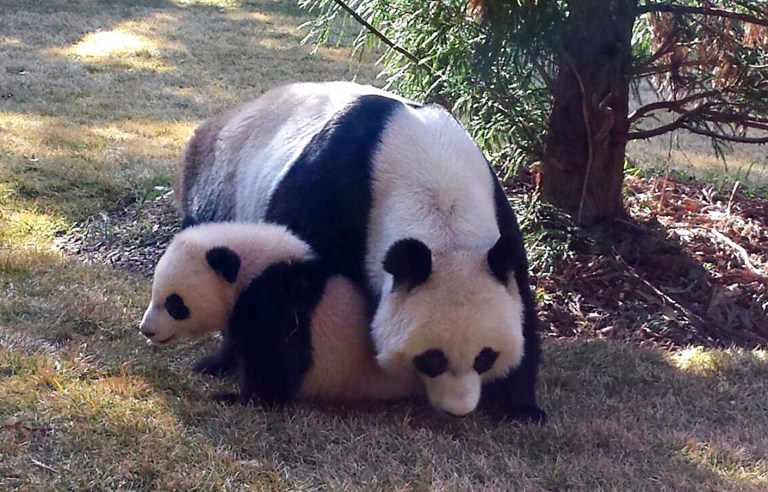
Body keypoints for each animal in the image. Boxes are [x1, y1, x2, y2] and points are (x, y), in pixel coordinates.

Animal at [139, 221, 422, 403]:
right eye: (155, 294)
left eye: (175, 304)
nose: (147, 330)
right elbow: (236, 341)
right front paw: (210, 366)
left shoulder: (280, 299)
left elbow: (277, 360)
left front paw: (236, 397)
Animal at [176, 81, 546, 423]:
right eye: (432, 358)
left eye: (485, 357)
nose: (457, 410)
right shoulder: (329, 192)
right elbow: (283, 295)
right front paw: (260, 392)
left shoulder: (499, 216)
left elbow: (522, 303)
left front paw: (521, 407)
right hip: (222, 186)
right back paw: (219, 363)